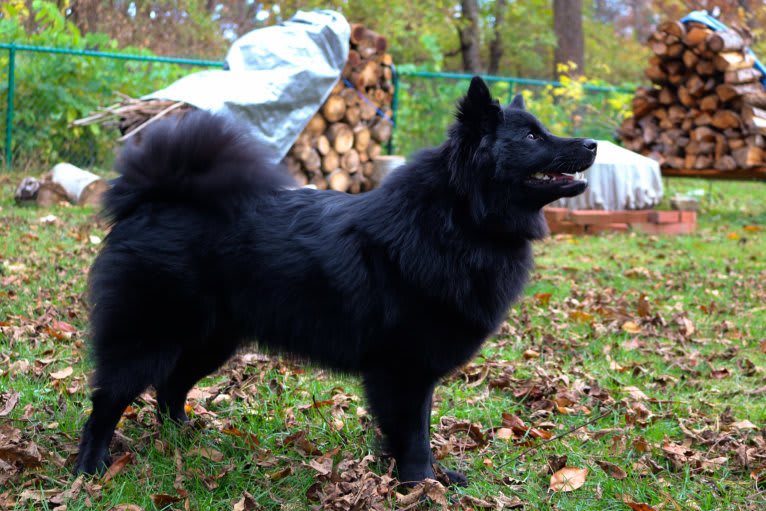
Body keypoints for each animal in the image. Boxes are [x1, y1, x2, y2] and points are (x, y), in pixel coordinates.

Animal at [75, 78, 596, 486]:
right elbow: (413, 435)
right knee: (108, 400)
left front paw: (432, 478)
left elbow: (419, 431)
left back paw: (183, 438)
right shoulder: (402, 369)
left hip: (212, 340)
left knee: (170, 389)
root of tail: (151, 199)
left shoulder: (416, 372)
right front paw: (421, 485)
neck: (461, 218)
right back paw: (90, 468)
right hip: (150, 335)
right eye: (531, 135)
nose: (592, 144)